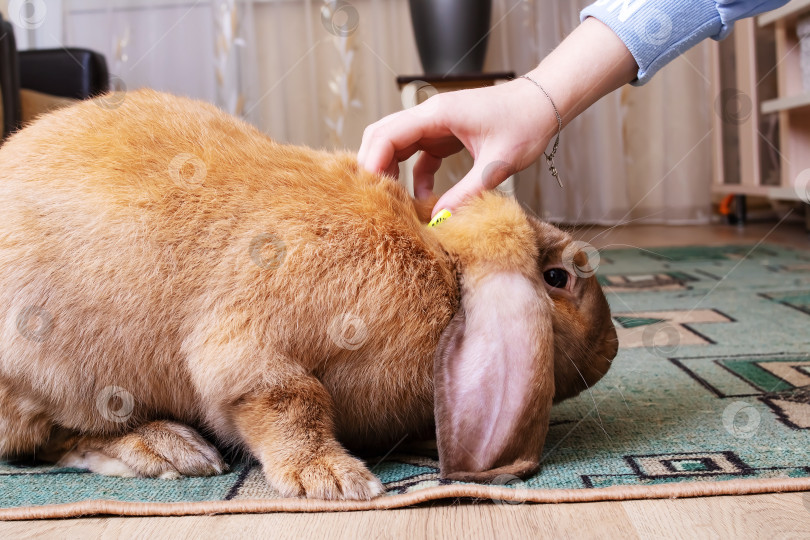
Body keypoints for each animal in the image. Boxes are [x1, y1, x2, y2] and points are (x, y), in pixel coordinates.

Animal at [1, 88, 620, 498]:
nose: (614, 349)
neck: (445, 268)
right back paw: (168, 451)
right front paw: (336, 482)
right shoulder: (253, 356)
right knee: (51, 441)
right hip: (53, 376)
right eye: (559, 278)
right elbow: (288, 402)